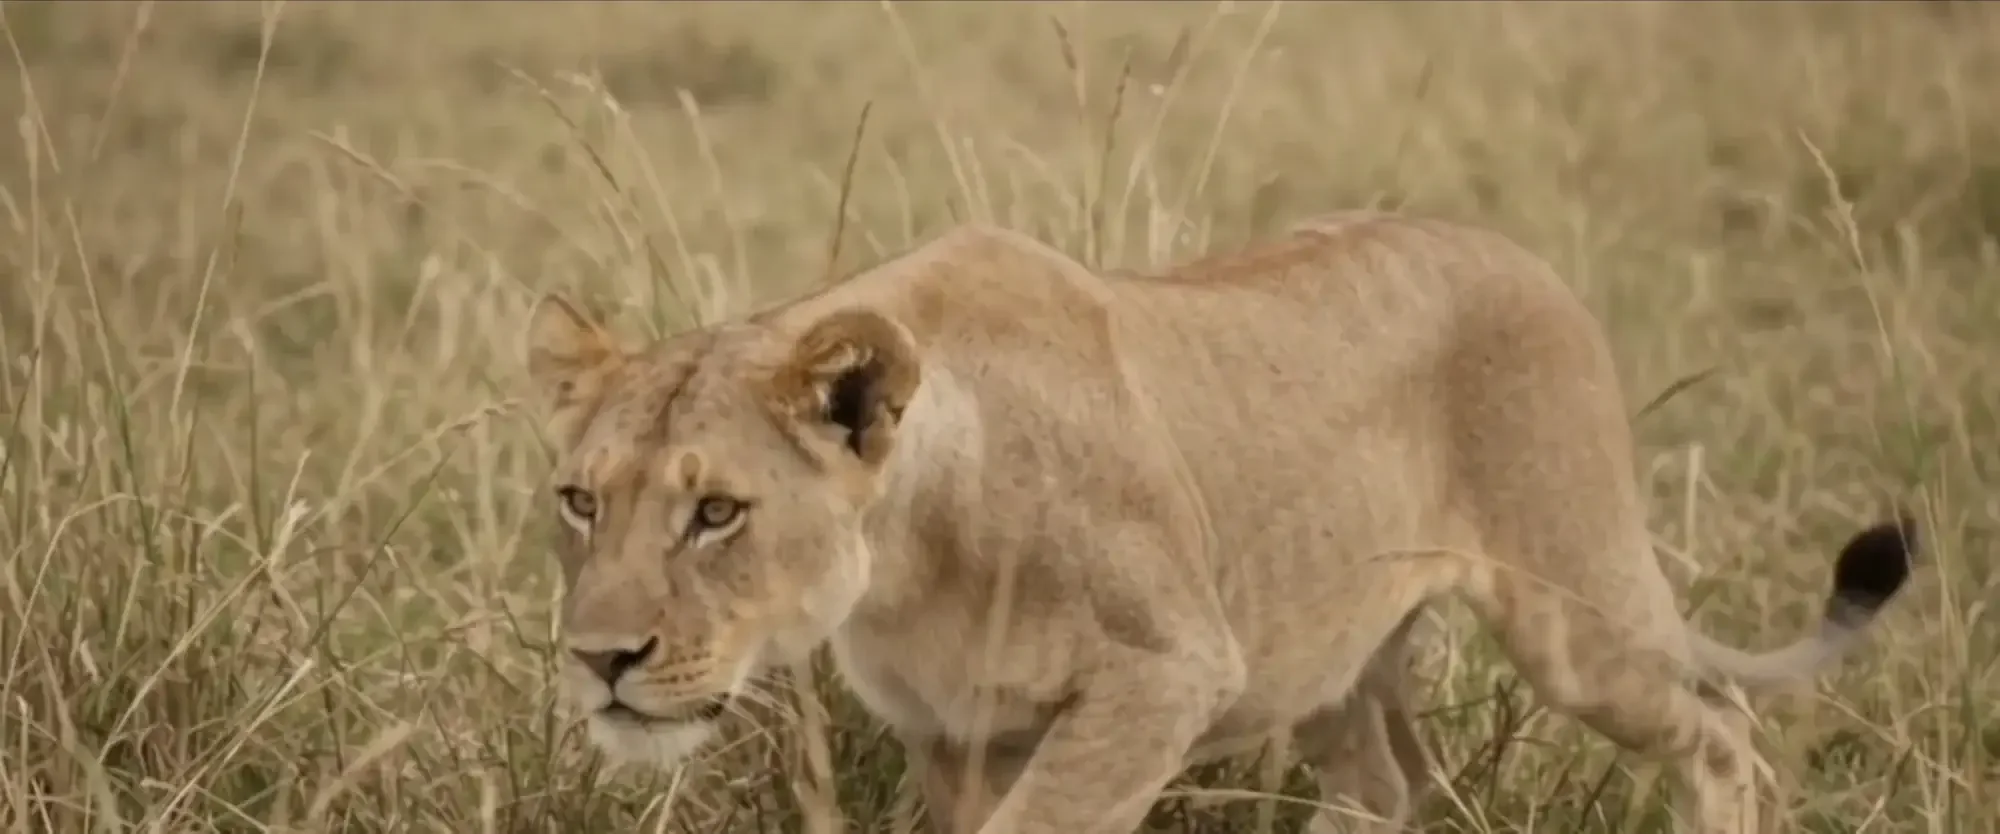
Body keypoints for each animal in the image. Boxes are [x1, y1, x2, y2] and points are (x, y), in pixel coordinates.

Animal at [521, 211, 1914, 834]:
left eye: (716, 512)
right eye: (580, 500)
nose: (598, 662)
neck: (904, 564)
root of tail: (1520, 251)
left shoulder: (1166, 673)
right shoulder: (955, 737)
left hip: (1576, 616)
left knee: (1719, 726)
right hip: (1332, 651)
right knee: (1387, 786)